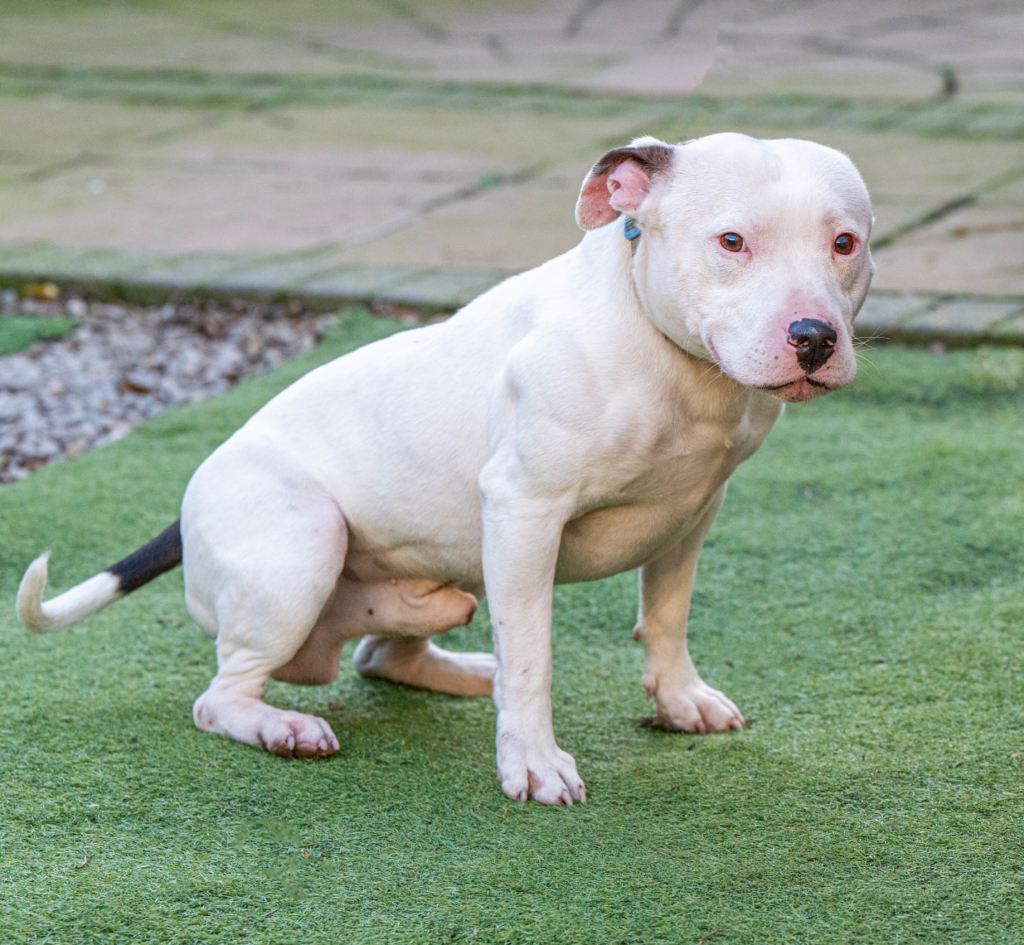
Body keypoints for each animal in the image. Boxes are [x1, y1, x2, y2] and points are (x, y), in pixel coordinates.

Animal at [17, 133, 874, 805]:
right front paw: (532, 760)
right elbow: (533, 656)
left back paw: (457, 658)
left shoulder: (694, 512)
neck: (667, 352)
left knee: (382, 653)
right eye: (731, 241)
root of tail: (187, 510)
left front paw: (678, 698)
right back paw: (282, 724)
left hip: (445, 566)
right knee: (220, 694)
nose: (813, 337)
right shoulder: (525, 511)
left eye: (845, 243)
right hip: (304, 543)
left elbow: (665, 615)